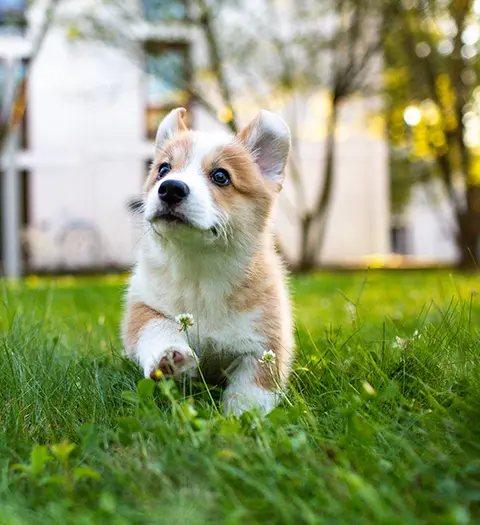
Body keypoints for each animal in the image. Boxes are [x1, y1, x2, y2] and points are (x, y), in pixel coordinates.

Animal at [122, 106, 294, 416]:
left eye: (221, 176)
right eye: (163, 169)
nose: (170, 189)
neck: (198, 270)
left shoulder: (264, 342)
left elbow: (253, 388)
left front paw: (243, 418)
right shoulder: (144, 304)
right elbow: (155, 327)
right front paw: (170, 355)